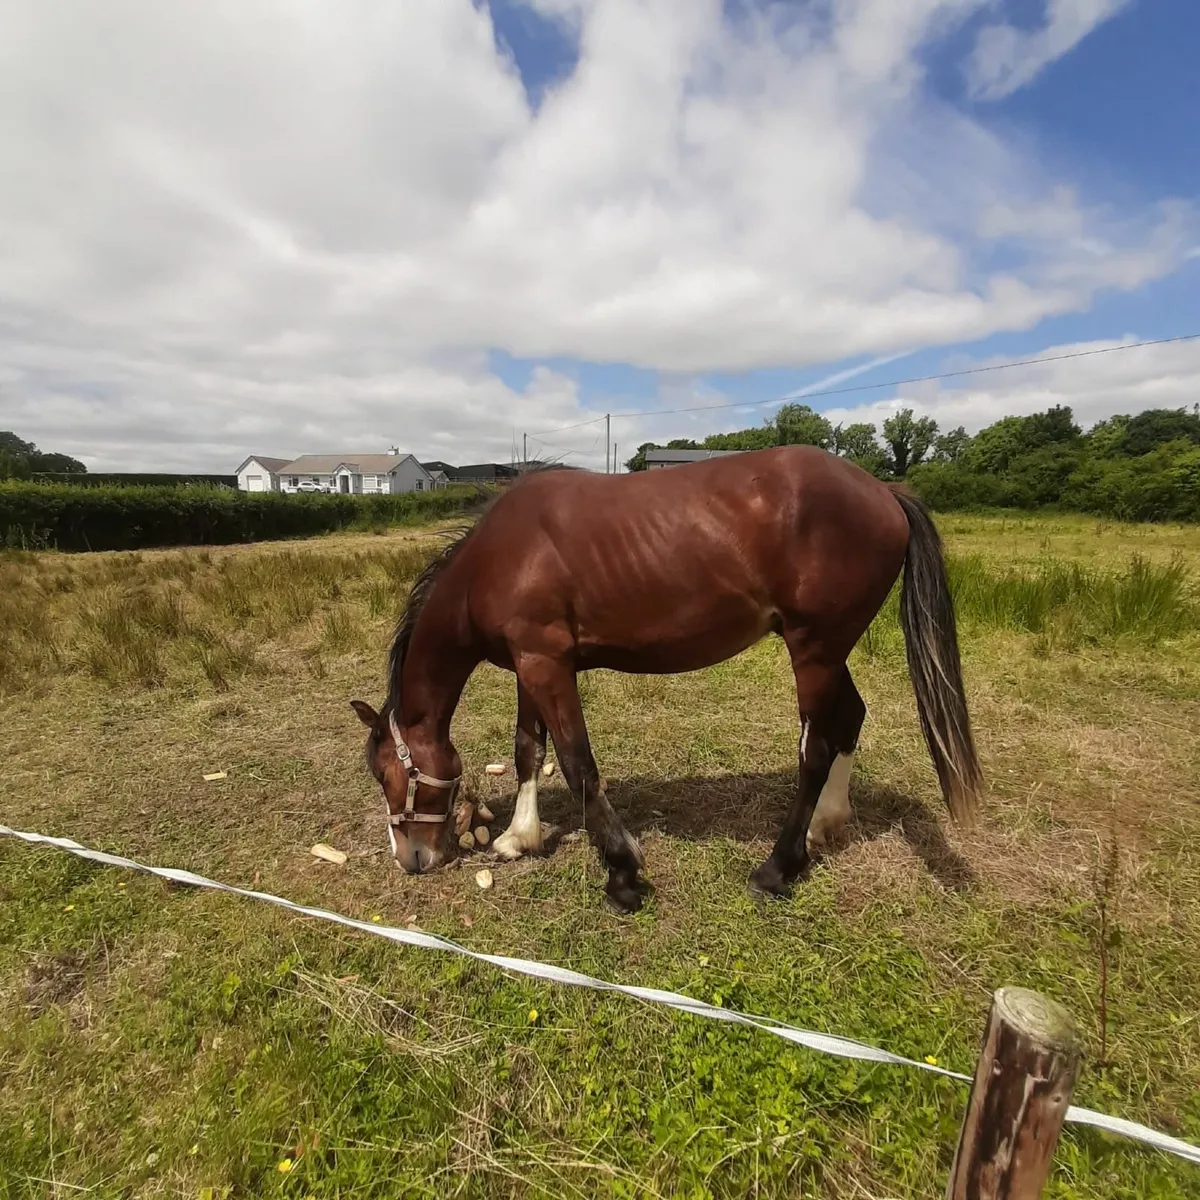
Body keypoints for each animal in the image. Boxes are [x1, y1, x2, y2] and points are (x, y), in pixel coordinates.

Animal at [349, 445, 981, 913]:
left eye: (385, 776)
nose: (412, 859)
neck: (498, 558)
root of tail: (884, 491)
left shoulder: (548, 665)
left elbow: (578, 764)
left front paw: (621, 873)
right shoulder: (529, 664)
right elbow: (529, 748)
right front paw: (520, 837)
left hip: (815, 651)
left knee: (817, 746)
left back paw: (778, 867)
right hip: (828, 651)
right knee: (849, 717)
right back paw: (826, 824)